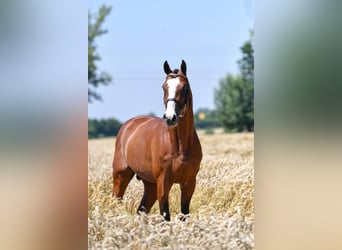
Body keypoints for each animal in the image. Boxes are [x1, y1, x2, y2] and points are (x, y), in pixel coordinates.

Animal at [112, 60, 203, 221]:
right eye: (164, 86)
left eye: (184, 87)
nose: (170, 118)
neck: (179, 146)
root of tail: (128, 125)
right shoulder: (163, 183)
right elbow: (165, 215)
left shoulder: (189, 183)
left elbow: (184, 213)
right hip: (121, 176)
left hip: (150, 185)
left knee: (141, 211)